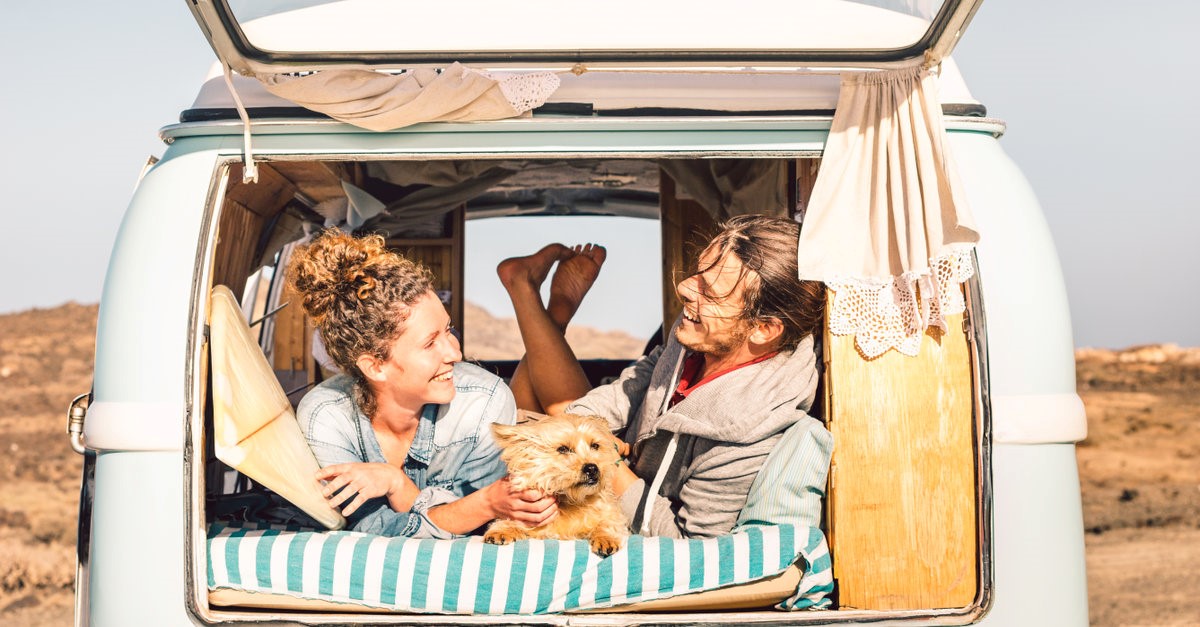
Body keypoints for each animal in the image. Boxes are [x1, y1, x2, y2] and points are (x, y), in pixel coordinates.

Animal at [480, 413, 628, 554]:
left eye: (595, 446)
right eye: (563, 449)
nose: (592, 468)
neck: (571, 501)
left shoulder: (611, 513)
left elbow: (608, 522)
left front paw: (606, 538)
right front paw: (502, 529)